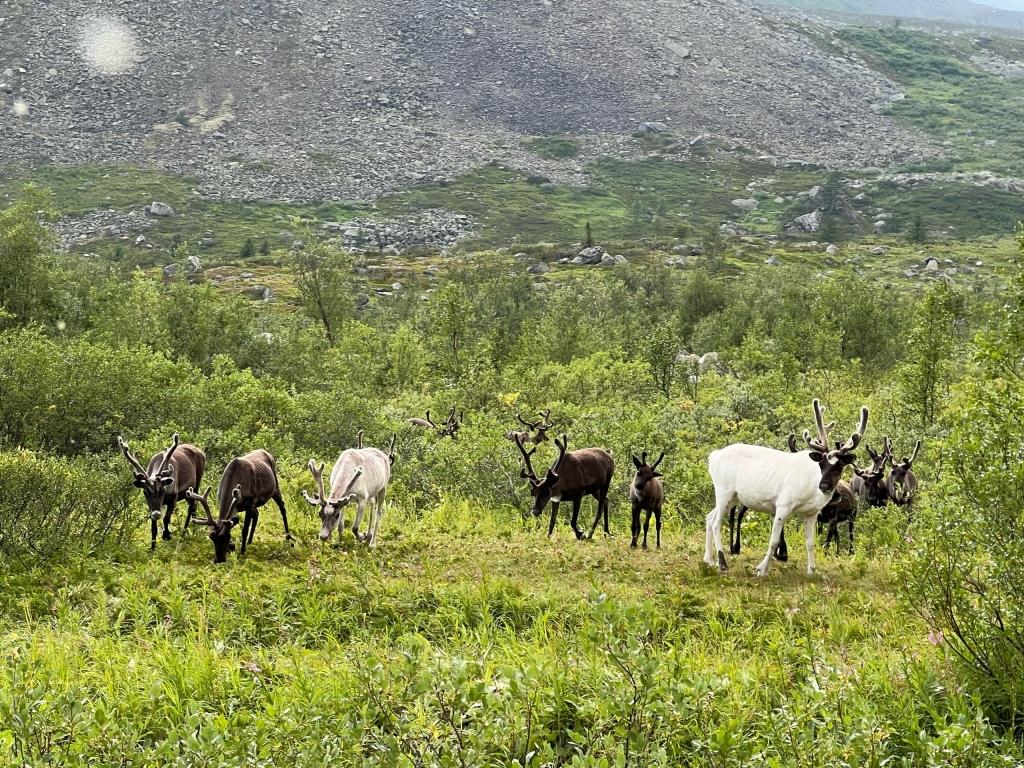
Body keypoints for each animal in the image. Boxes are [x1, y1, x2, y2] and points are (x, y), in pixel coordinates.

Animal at [706, 399, 868, 576]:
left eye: (839, 466)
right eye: (821, 464)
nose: (824, 485)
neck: (811, 490)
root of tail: (713, 456)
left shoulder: (812, 513)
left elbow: (810, 543)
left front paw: (812, 570)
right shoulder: (783, 505)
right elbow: (773, 541)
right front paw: (761, 569)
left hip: (734, 497)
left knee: (709, 517)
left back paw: (709, 560)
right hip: (724, 491)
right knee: (716, 522)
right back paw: (722, 563)